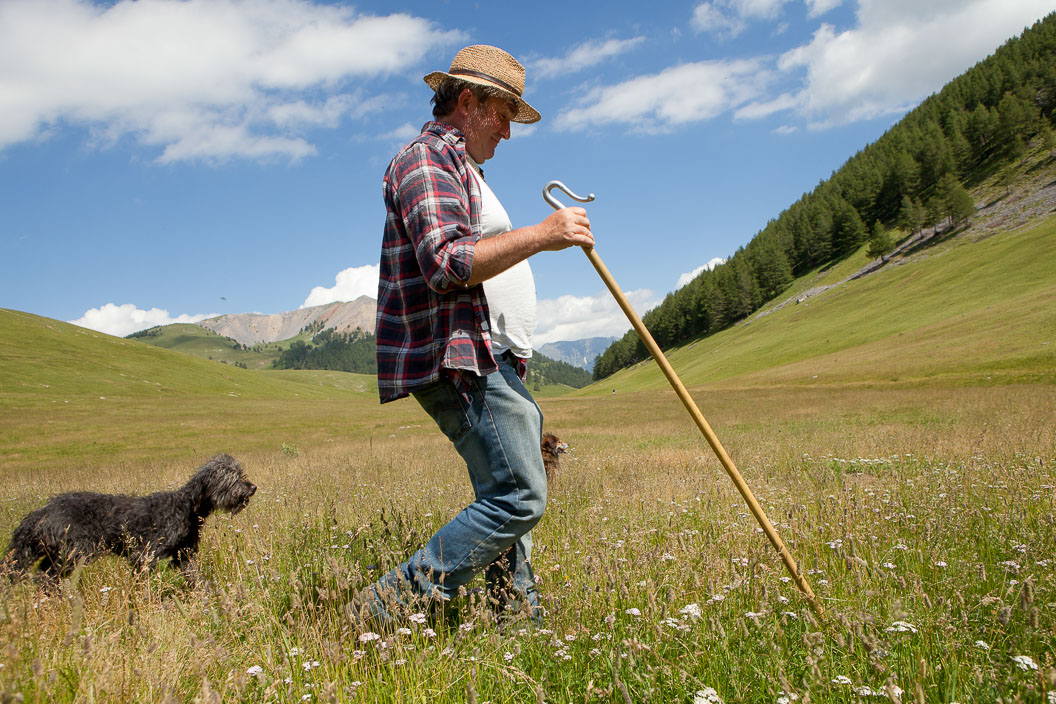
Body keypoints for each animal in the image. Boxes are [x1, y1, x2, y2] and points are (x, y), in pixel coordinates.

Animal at [6, 453, 255, 582]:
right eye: (232, 477)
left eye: (241, 473)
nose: (252, 487)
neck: (187, 507)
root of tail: (41, 512)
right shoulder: (144, 554)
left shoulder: (184, 555)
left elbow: (195, 578)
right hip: (73, 553)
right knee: (46, 578)